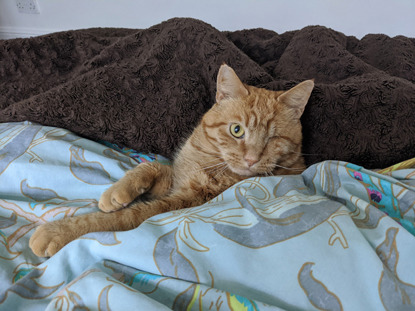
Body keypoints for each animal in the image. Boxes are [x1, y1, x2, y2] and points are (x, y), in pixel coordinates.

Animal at [29, 64, 314, 258]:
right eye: (237, 130)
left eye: (273, 138)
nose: (251, 159)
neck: (207, 156)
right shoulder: (176, 178)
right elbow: (153, 166)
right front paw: (118, 191)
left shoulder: (186, 200)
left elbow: (127, 216)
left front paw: (59, 232)